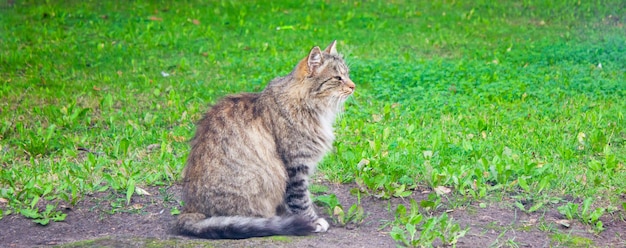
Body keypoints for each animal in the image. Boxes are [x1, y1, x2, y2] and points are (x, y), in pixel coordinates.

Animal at [174, 40, 356, 238]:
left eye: (347, 74)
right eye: (338, 78)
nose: (353, 86)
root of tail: (190, 209)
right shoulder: (295, 167)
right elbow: (300, 200)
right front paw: (312, 221)